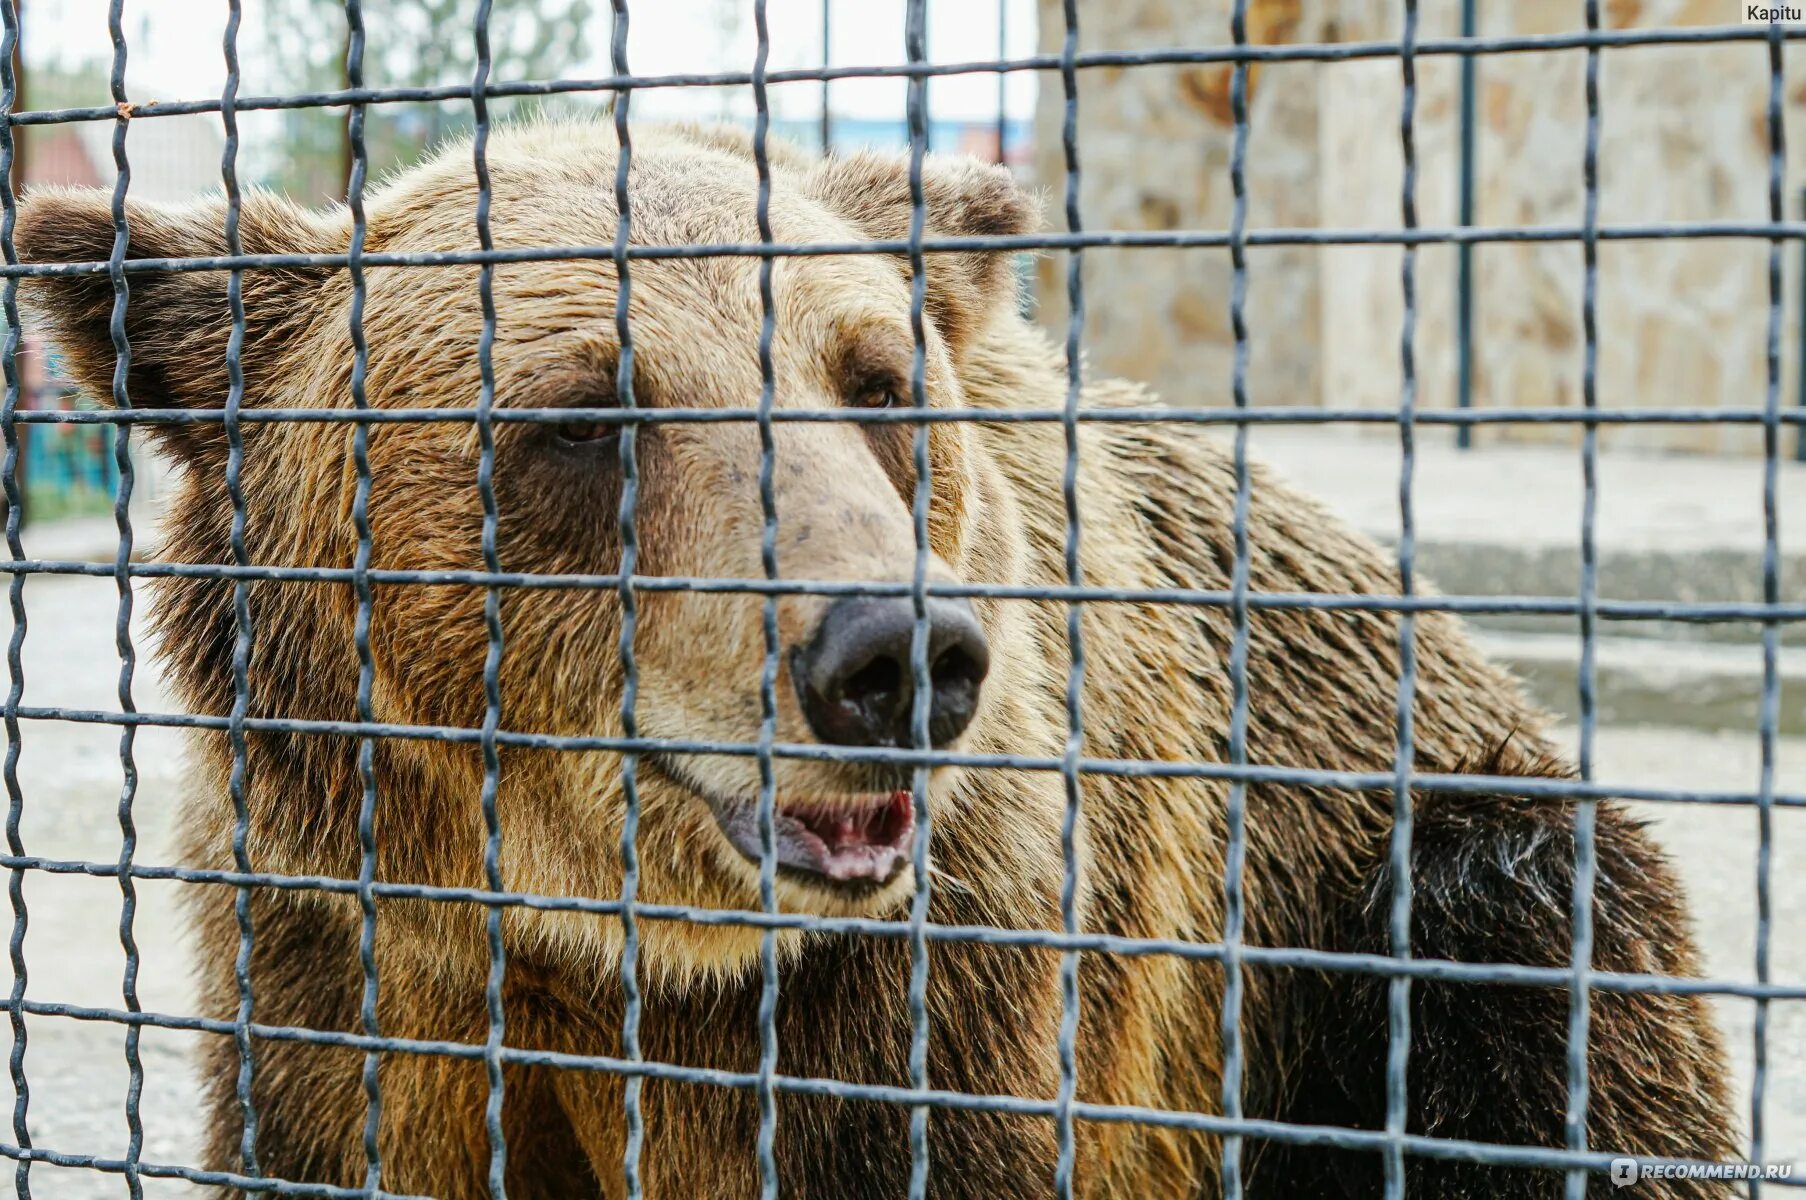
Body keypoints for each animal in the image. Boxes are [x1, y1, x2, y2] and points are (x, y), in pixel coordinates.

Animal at [10, 123, 1733, 1200]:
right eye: (584, 415)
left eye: (874, 381)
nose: (895, 656)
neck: (606, 945)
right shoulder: (350, 953)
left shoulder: (940, 985)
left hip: (1412, 904)